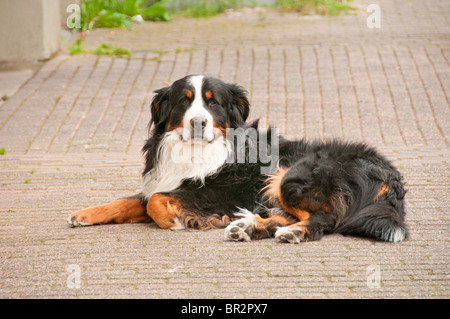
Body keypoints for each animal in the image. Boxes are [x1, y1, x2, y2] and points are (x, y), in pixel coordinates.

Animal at [67, 75, 408, 244]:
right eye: (183, 102)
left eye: (213, 103)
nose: (198, 122)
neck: (195, 150)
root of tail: (388, 172)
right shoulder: (166, 180)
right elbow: (130, 200)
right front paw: (84, 213)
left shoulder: (220, 192)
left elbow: (155, 202)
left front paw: (176, 221)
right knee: (286, 216)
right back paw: (247, 228)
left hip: (290, 177)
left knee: (324, 218)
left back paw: (291, 233)